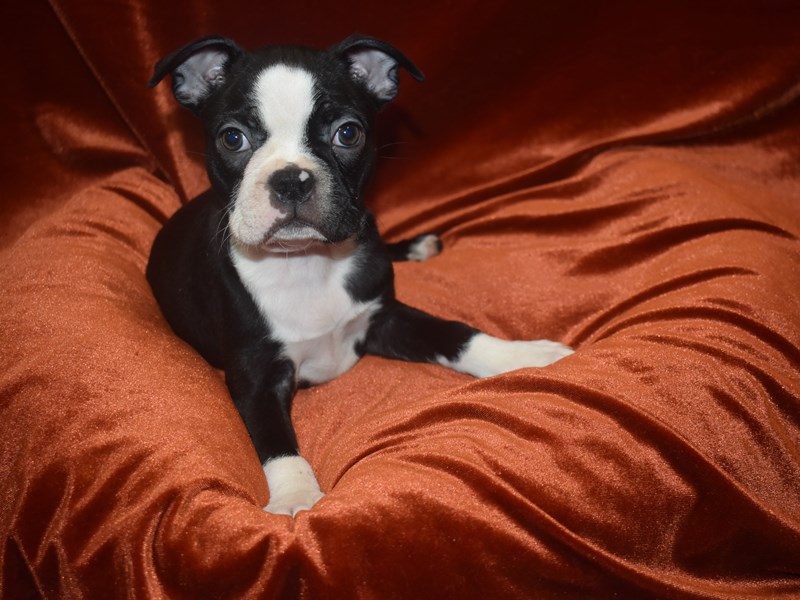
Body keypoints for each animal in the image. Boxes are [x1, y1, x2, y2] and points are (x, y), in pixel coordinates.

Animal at [148, 35, 576, 516]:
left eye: (347, 133)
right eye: (232, 138)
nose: (291, 179)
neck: (305, 262)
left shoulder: (383, 317)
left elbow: (455, 334)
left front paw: (523, 355)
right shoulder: (254, 378)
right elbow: (277, 443)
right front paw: (297, 496)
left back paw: (416, 247)